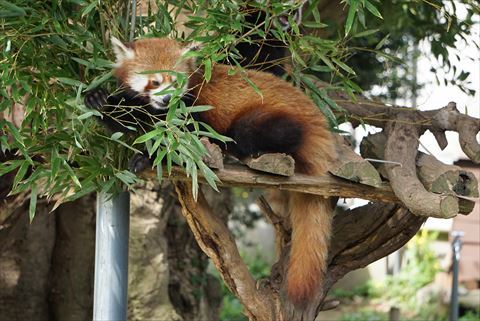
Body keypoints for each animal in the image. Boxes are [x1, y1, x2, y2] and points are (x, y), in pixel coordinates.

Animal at [84, 37, 336, 304]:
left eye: (176, 82)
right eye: (155, 82)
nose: (166, 100)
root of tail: (318, 123)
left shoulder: (192, 110)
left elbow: (180, 138)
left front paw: (146, 158)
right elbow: (132, 118)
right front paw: (98, 100)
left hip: (273, 119)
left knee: (255, 131)